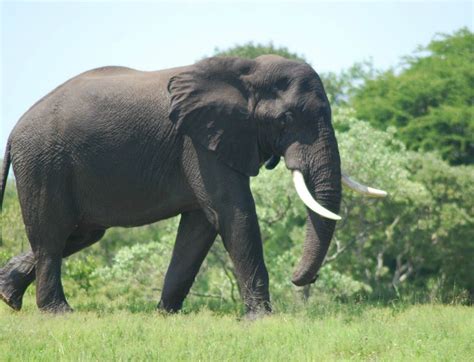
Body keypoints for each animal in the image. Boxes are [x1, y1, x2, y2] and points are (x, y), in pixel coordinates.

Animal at [0, 55, 386, 314]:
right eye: (285, 119)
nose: (298, 278)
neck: (246, 70)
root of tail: (14, 130)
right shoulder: (200, 143)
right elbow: (233, 213)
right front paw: (262, 318)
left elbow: (200, 227)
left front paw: (165, 314)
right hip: (44, 163)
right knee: (52, 235)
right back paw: (58, 312)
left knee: (79, 234)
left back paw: (8, 294)